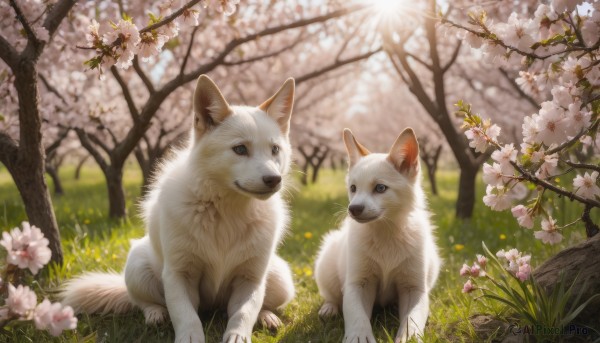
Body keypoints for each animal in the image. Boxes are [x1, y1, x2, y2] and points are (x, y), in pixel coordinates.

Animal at [60, 75, 296, 343]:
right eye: (240, 149)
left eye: (275, 149)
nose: (274, 179)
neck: (228, 210)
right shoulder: (178, 274)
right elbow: (185, 315)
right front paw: (189, 335)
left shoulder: (251, 279)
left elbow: (244, 313)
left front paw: (239, 335)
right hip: (137, 266)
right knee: (143, 302)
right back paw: (155, 314)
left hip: (280, 276)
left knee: (262, 304)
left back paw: (268, 317)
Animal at [314, 128, 440, 343]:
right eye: (353, 188)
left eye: (380, 188)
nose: (353, 209)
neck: (386, 234)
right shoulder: (358, 283)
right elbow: (357, 315)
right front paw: (358, 336)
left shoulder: (413, 288)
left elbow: (412, 318)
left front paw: (409, 337)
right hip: (326, 265)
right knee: (331, 295)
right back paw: (328, 308)